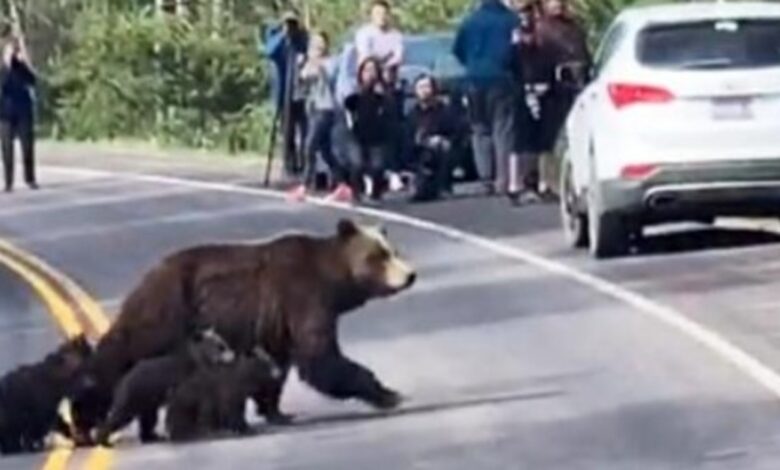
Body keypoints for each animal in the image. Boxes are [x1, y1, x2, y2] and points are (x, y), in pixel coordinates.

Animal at [95, 328, 235, 446]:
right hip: (135, 395)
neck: (200, 362)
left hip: (147, 400)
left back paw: (153, 437)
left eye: (224, 344)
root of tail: (123, 379)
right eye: (220, 347)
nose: (232, 358)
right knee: (121, 415)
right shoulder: (184, 380)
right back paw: (104, 441)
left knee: (148, 418)